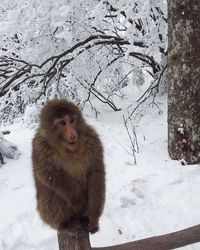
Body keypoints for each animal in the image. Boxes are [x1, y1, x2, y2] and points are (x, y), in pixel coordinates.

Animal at [31, 98, 104, 233]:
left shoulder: (92, 139)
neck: (67, 149)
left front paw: (93, 217)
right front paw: (77, 199)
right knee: (57, 192)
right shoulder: (39, 145)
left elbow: (96, 172)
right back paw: (65, 223)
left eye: (71, 121)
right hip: (46, 213)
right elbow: (48, 173)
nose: (72, 134)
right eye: (62, 123)